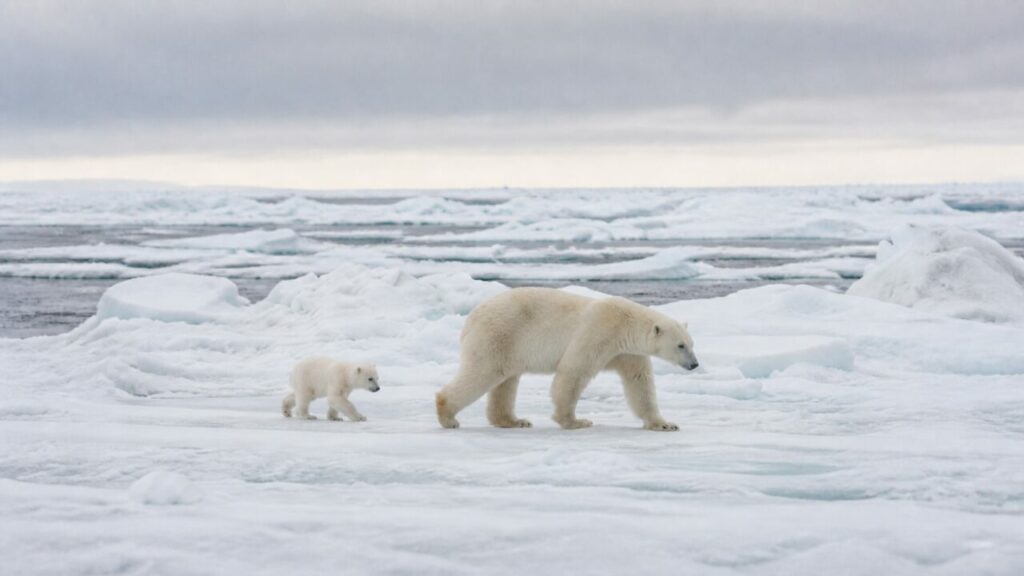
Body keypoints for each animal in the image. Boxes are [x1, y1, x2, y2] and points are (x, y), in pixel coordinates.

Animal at [435, 287, 698, 431]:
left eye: (692, 344)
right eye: (680, 345)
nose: (694, 364)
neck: (625, 325)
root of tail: (470, 318)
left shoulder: (627, 352)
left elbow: (639, 383)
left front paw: (665, 424)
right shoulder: (598, 332)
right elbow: (573, 372)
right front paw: (576, 421)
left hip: (508, 345)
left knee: (506, 380)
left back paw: (514, 420)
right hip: (498, 335)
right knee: (484, 372)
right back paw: (448, 416)